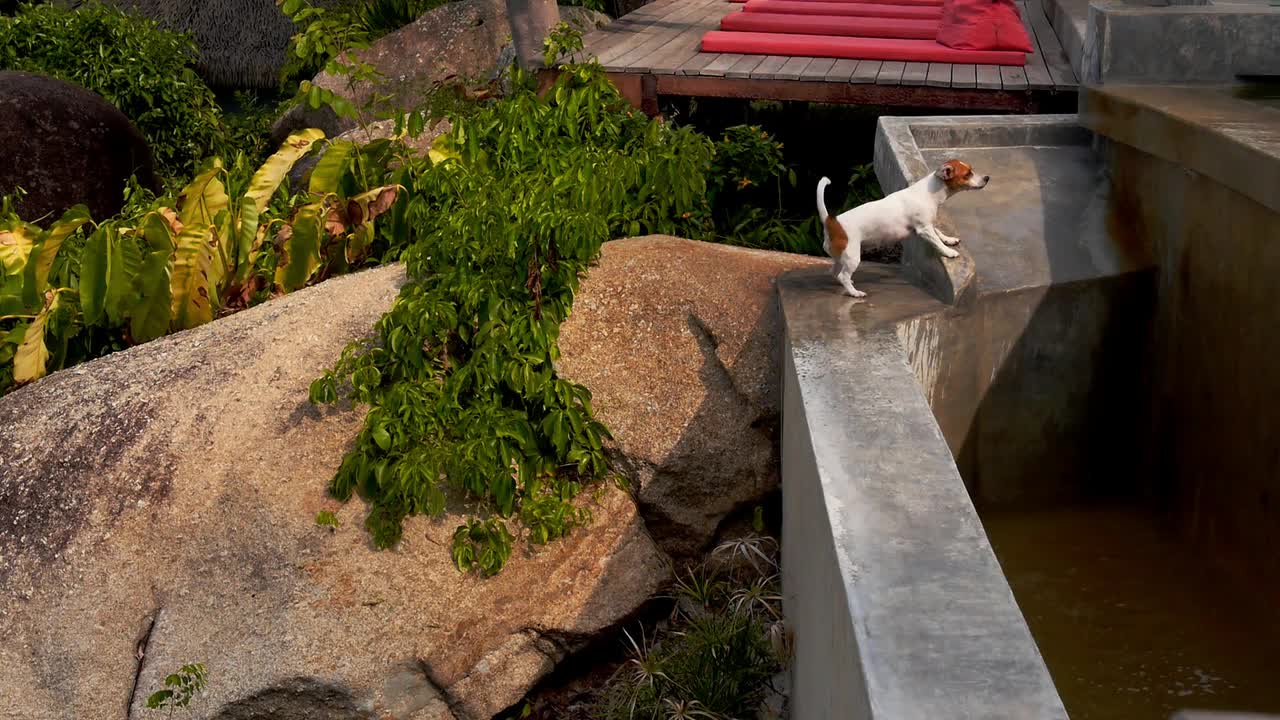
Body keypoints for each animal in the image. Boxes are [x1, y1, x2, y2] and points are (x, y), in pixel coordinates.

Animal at [819, 159, 988, 297]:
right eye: (968, 174)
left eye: (971, 170)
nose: (987, 178)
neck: (929, 192)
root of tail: (831, 222)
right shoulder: (924, 229)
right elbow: (936, 241)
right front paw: (948, 251)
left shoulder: (928, 224)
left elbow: (938, 232)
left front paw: (949, 239)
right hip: (853, 256)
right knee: (843, 276)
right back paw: (855, 293)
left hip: (841, 257)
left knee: (834, 272)